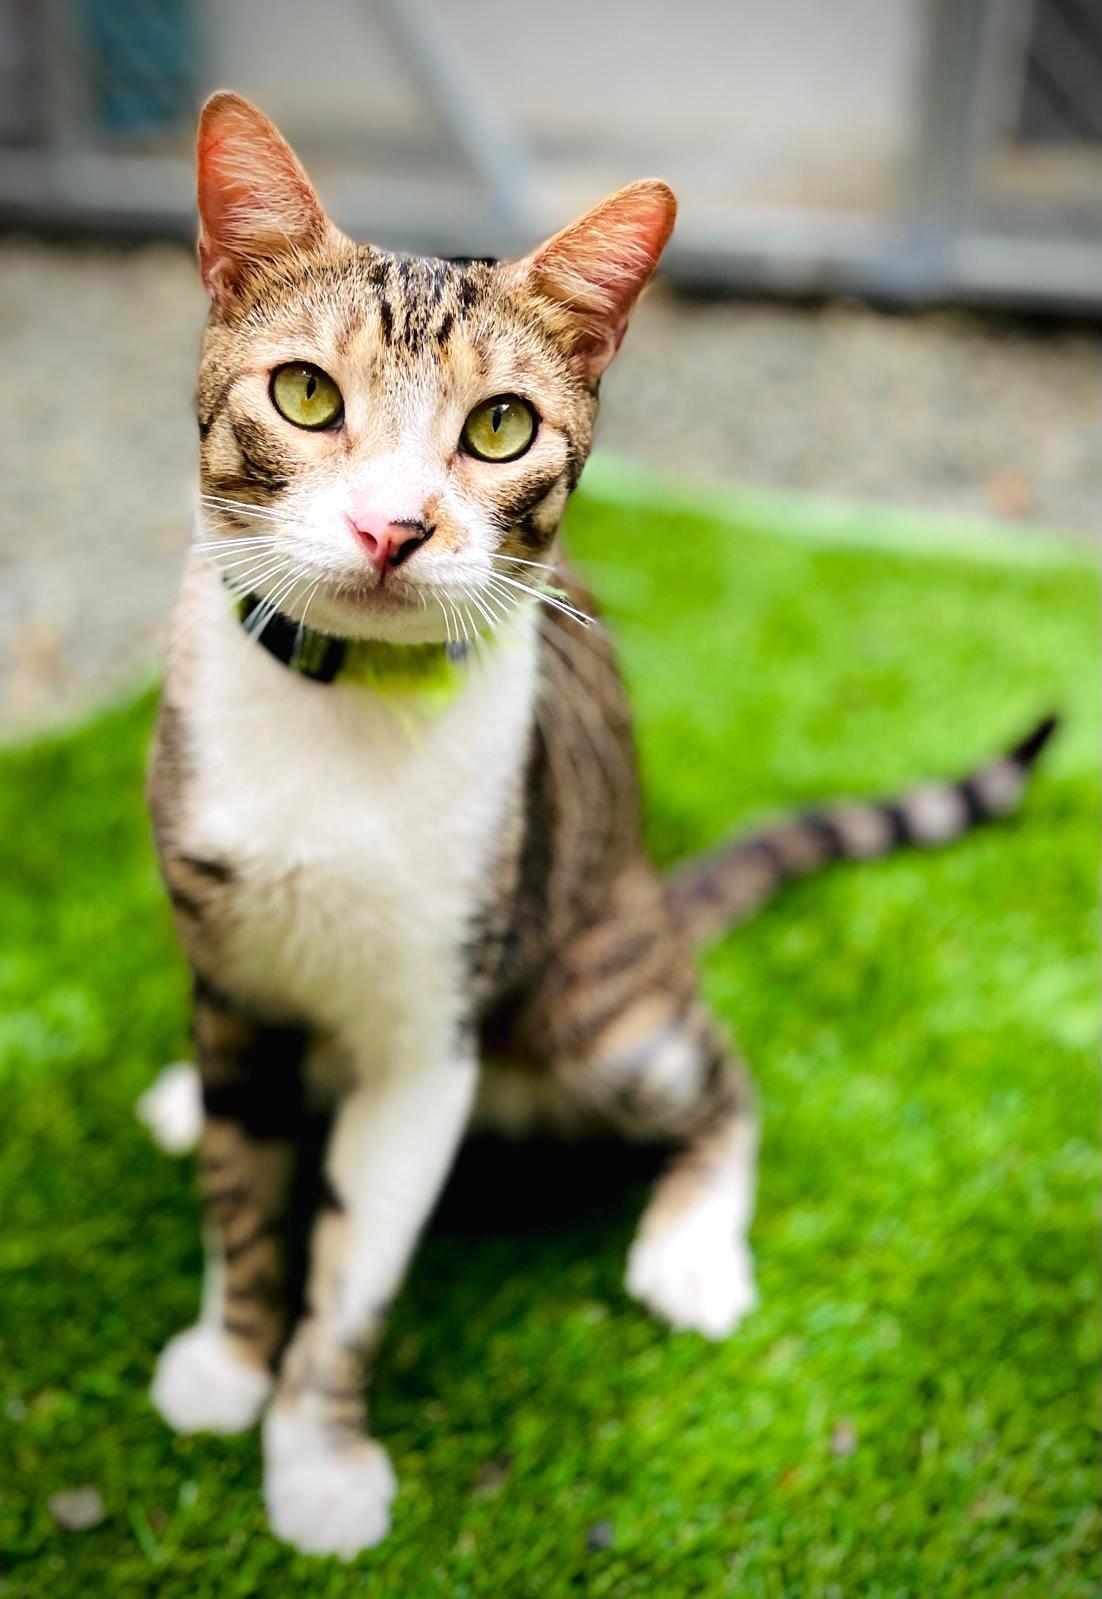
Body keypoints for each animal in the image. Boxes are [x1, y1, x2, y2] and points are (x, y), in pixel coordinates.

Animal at [143, 90, 1049, 1560]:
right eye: (305, 395)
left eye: (500, 428)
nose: (393, 526)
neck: (342, 723)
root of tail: (650, 897)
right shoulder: (225, 959)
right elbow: (241, 1186)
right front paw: (228, 1356)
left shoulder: (433, 1024)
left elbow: (354, 1263)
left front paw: (316, 1454)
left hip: (593, 1003)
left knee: (721, 1079)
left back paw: (690, 1248)